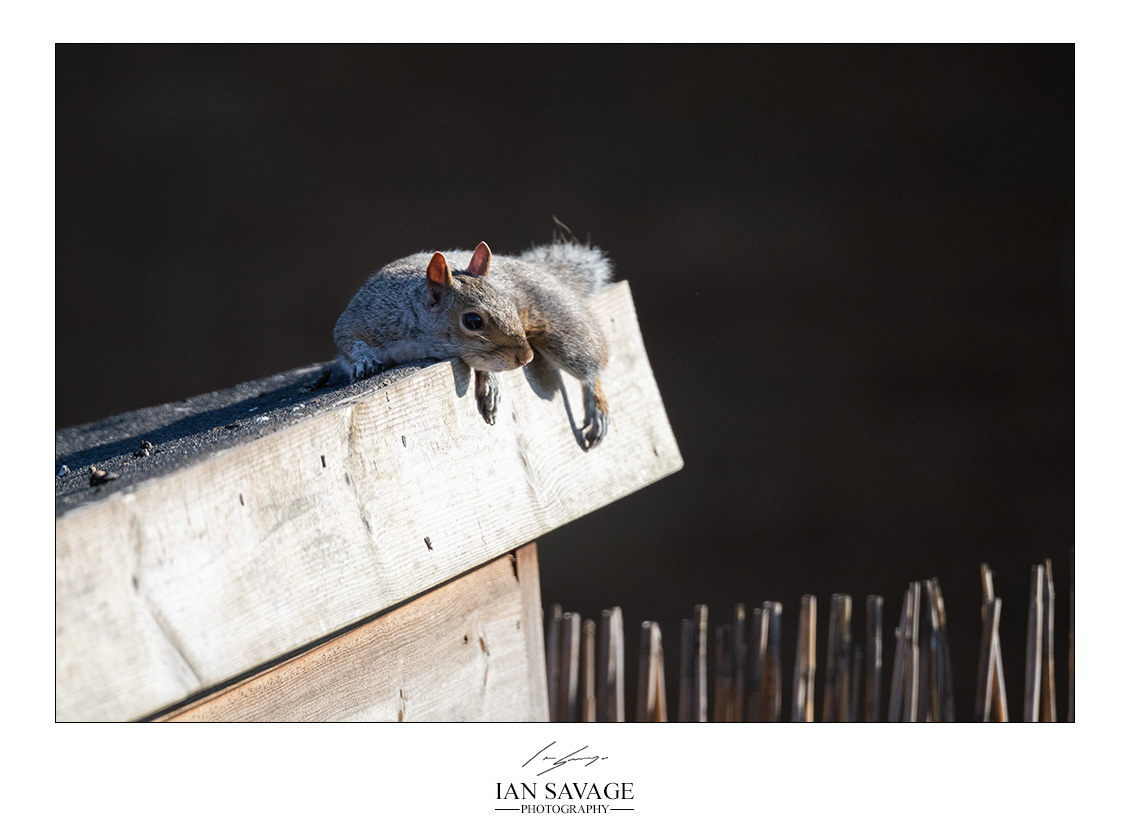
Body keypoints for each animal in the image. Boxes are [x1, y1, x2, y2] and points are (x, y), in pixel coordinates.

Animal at [333, 234, 613, 449]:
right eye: (473, 321)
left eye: (511, 304)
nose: (526, 357)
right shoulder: (367, 317)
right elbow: (346, 340)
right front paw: (363, 363)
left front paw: (491, 383)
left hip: (565, 335)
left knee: (592, 366)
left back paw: (597, 407)